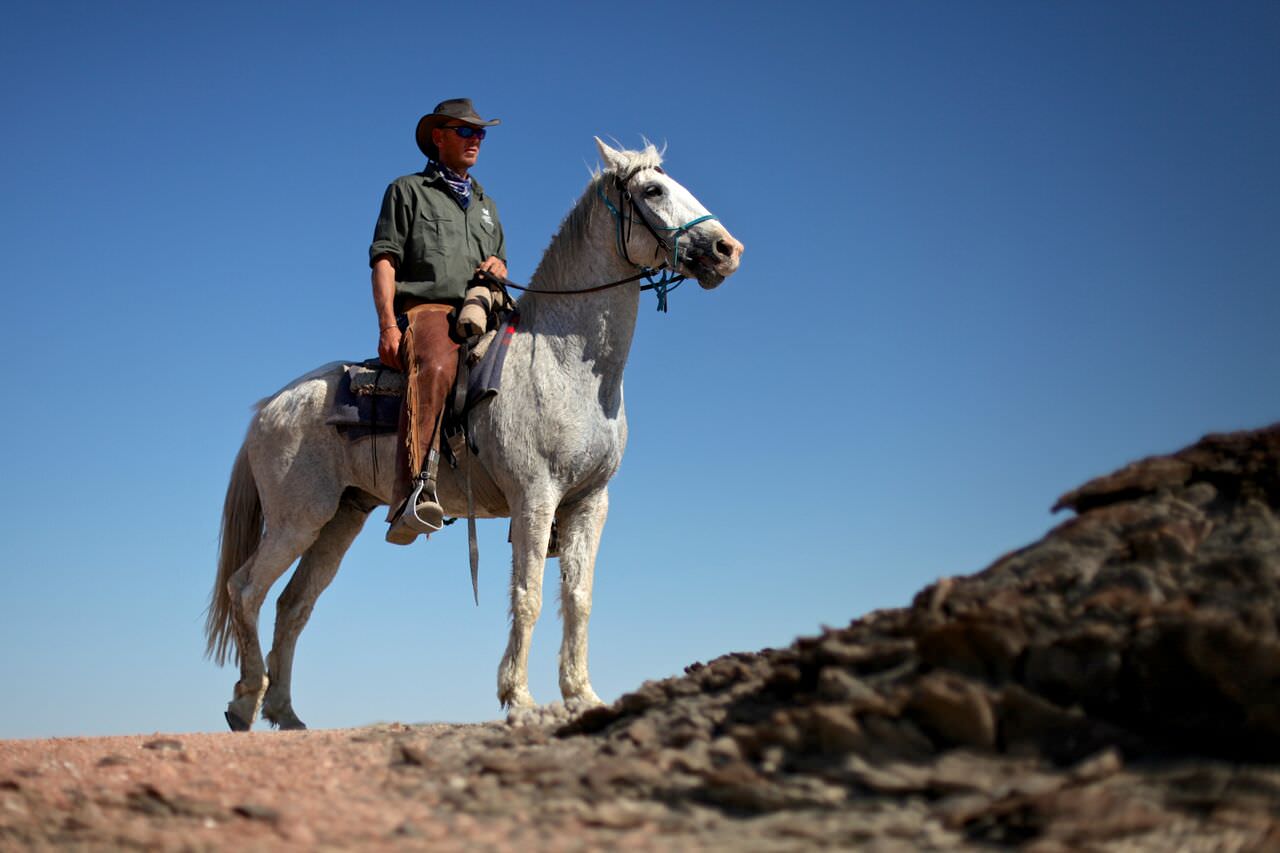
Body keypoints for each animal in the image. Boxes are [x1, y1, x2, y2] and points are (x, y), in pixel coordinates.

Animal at [199, 140, 742, 732]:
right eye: (653, 190)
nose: (727, 249)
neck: (565, 360)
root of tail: (270, 406)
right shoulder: (535, 497)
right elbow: (528, 595)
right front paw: (520, 699)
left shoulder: (589, 502)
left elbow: (578, 597)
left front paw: (582, 695)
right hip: (298, 519)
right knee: (246, 590)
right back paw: (245, 701)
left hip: (339, 520)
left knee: (293, 604)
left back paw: (286, 713)